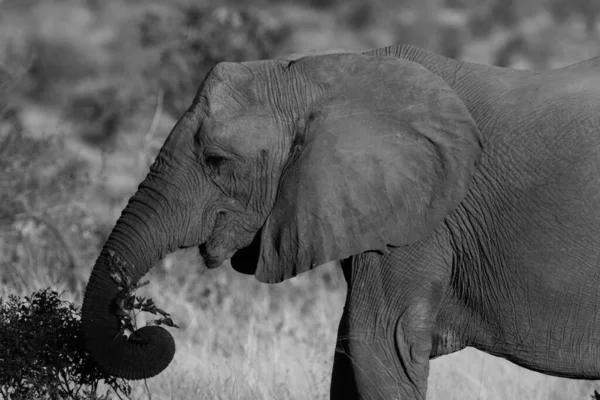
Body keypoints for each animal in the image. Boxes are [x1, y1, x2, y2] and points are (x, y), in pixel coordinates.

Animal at [81, 44, 600, 400]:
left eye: (216, 161)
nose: (145, 325)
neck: (321, 75)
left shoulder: (420, 220)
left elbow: (378, 345)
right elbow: (348, 354)